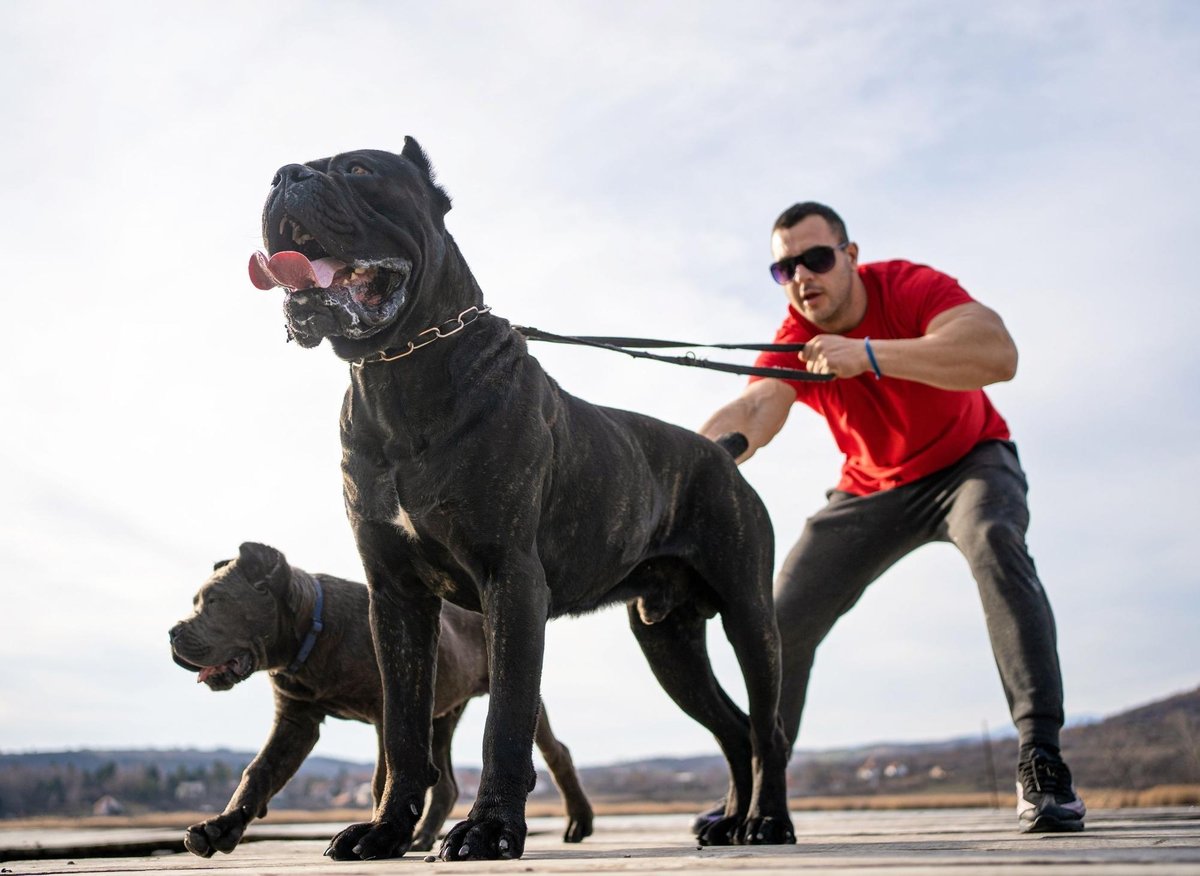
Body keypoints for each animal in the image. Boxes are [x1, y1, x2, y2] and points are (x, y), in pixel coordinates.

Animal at [171, 540, 592, 854]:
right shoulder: (296, 719)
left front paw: (376, 831)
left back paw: (578, 821)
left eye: (215, 602)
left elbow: (381, 775)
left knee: (557, 752)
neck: (313, 631)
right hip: (440, 715)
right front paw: (219, 828)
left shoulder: (381, 711)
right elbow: (258, 772)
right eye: (197, 602)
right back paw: (421, 838)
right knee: (445, 781)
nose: (173, 633)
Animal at [250, 139, 796, 854]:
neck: (399, 369)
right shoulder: (395, 596)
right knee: (731, 726)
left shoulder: (510, 578)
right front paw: (386, 831)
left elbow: (506, 720)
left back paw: (768, 821)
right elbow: (402, 729)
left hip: (749, 614)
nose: (284, 175)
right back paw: (730, 821)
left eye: (359, 170)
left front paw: (489, 831)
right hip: (669, 639)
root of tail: (722, 453)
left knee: (767, 726)